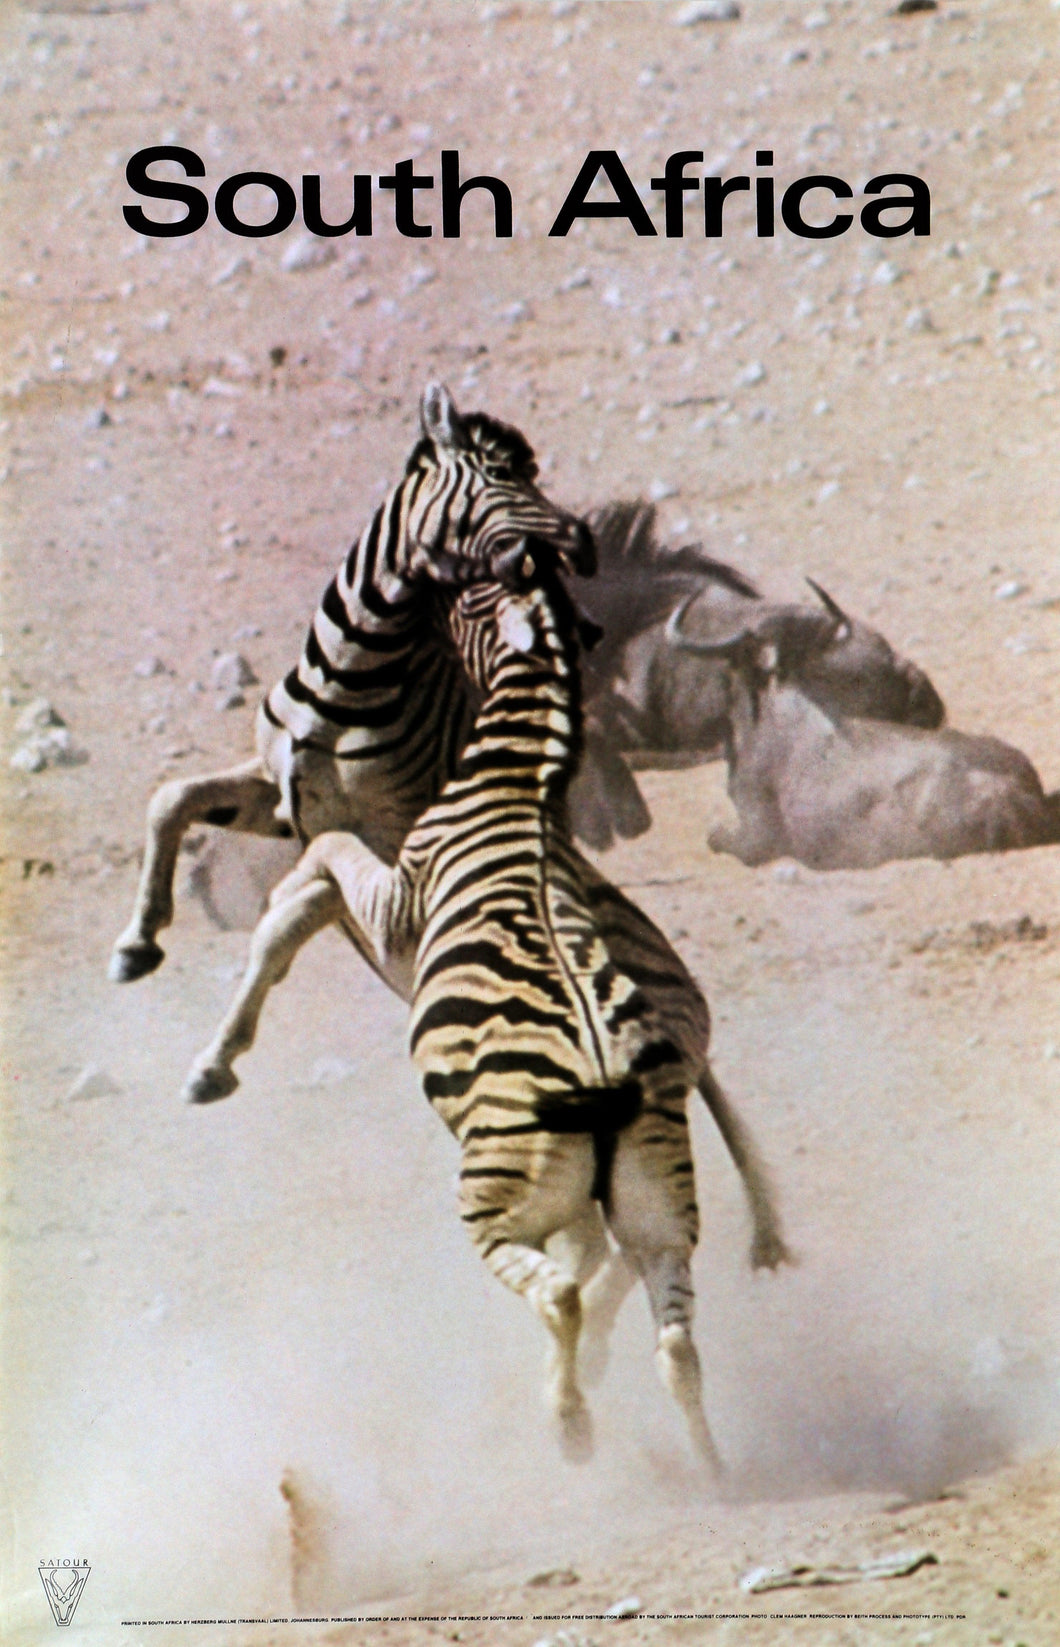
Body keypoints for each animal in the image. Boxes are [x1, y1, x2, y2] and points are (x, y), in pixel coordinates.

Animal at [108, 383, 594, 985]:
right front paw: (137, 942)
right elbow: (172, 799)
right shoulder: (284, 797)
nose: (585, 541)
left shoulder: (385, 830)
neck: (345, 678)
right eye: (503, 474)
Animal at [181, 565, 789, 1470]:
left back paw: (571, 1422)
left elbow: (315, 870)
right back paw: (707, 1465)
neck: (514, 781)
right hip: (657, 1213)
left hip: (498, 1199)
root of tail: (612, 1079)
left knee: (566, 1286)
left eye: (457, 597)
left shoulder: (394, 898)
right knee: (669, 1332)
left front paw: (219, 1050)